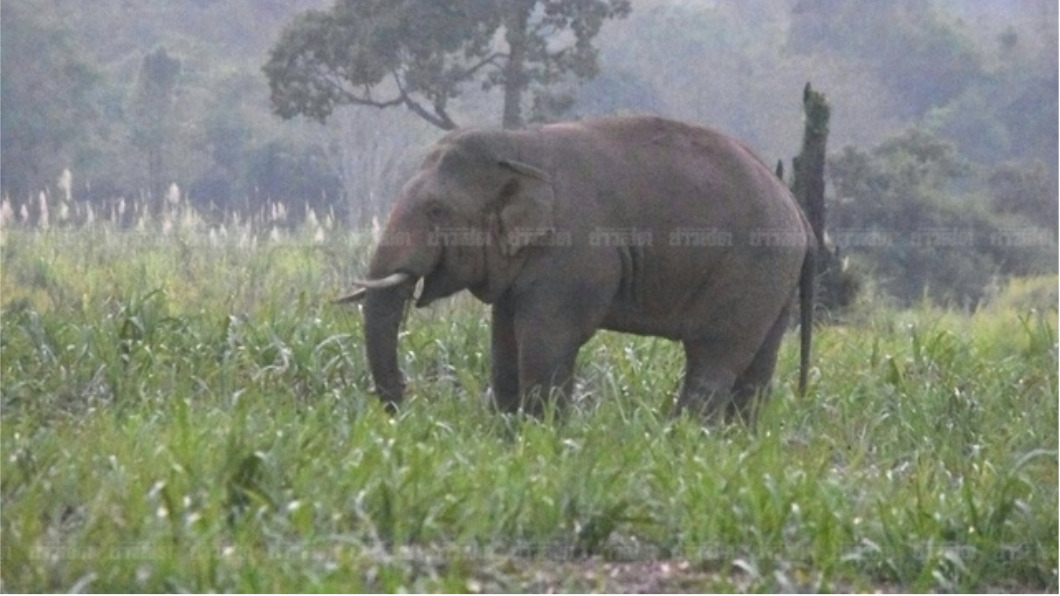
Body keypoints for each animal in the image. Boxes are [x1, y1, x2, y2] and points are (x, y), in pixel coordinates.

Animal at [338, 116, 815, 423]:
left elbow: (546, 339)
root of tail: (797, 207)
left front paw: (543, 433)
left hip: (750, 270)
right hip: (774, 281)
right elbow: (504, 337)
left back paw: (682, 435)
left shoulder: (572, 257)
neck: (517, 145)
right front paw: (504, 429)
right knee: (757, 365)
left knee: (713, 356)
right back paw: (735, 440)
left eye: (436, 210)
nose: (404, 403)